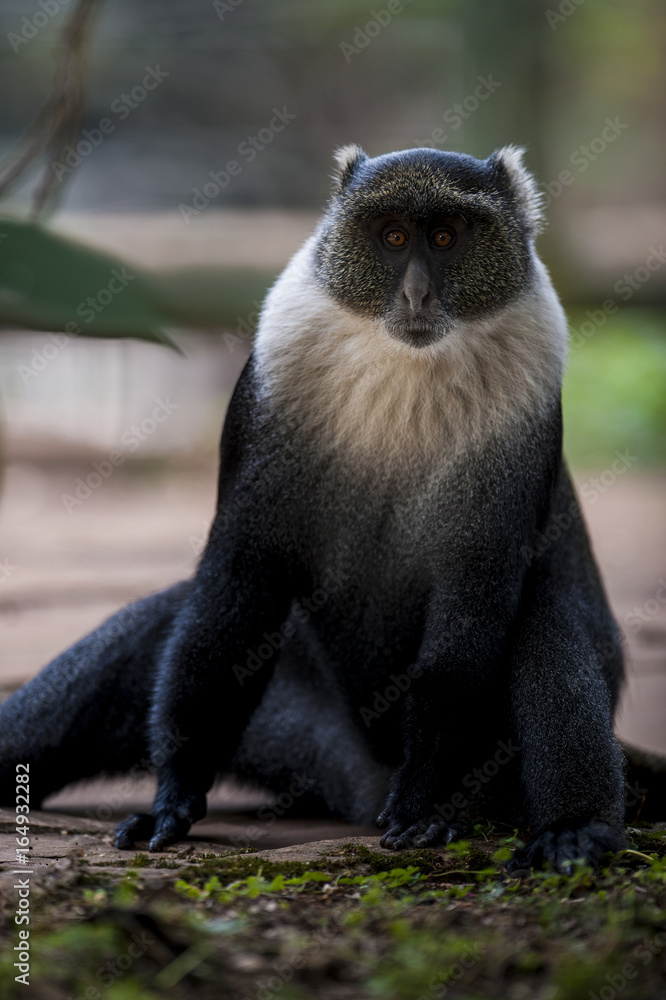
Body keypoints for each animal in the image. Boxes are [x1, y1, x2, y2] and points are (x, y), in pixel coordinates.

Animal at [0, 144, 660, 872]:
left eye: (446, 236)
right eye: (393, 236)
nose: (416, 294)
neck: (406, 366)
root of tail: (365, 784)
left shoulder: (527, 406)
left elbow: (475, 600)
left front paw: (425, 801)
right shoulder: (272, 385)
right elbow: (237, 583)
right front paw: (173, 798)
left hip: (484, 769)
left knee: (542, 617)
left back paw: (573, 829)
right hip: (308, 730)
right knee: (159, 623)